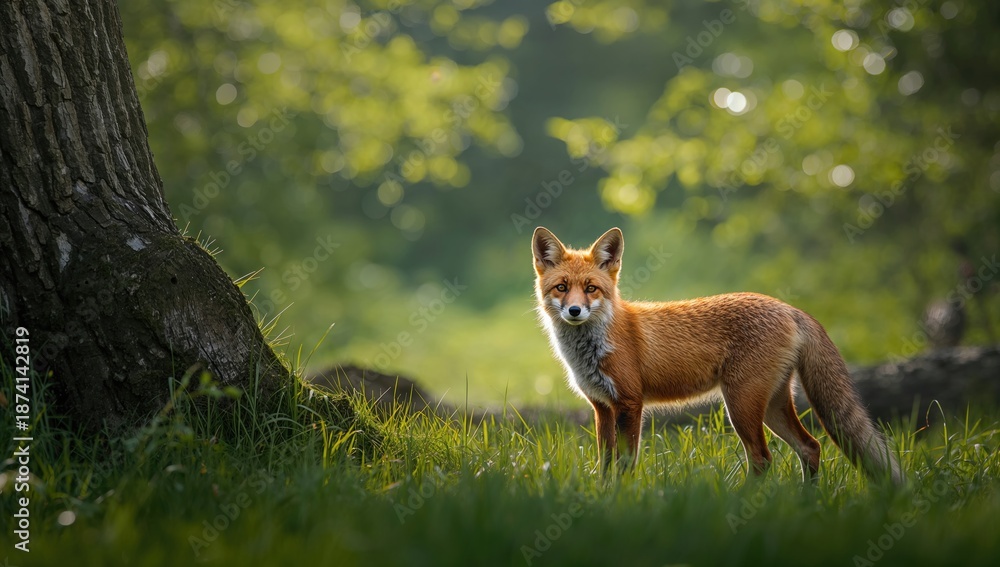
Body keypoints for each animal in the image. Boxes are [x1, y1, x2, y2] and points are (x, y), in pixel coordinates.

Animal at [531, 226, 902, 484]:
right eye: (561, 288)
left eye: (591, 288)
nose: (575, 311)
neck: (594, 346)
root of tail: (789, 307)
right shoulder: (602, 407)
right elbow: (605, 465)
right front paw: (603, 496)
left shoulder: (629, 403)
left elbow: (624, 464)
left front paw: (621, 498)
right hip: (771, 405)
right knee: (811, 447)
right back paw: (805, 502)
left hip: (740, 405)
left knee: (763, 458)